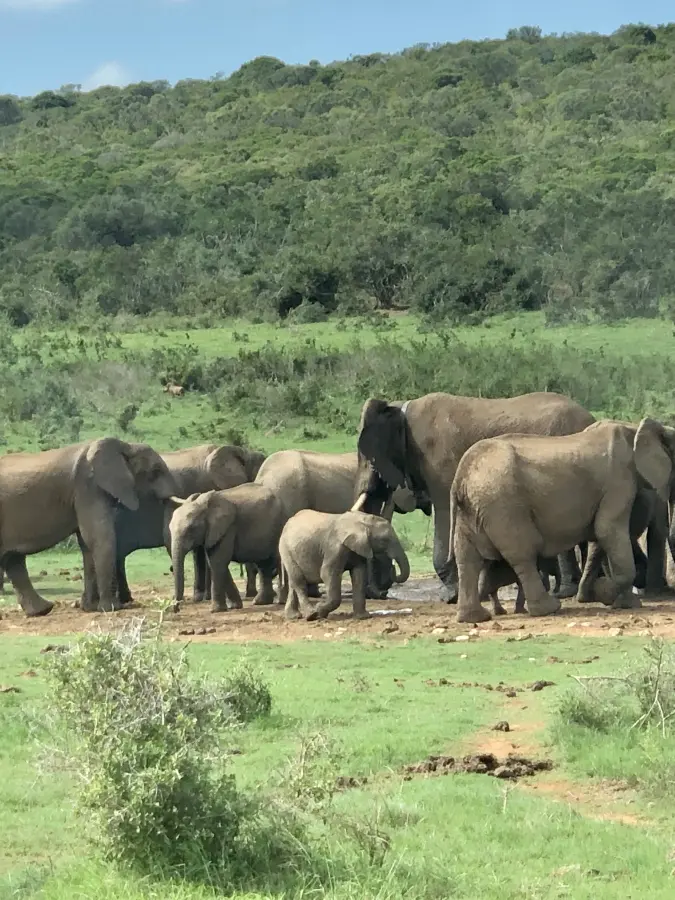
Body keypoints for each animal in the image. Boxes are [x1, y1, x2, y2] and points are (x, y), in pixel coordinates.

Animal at [0, 438, 177, 620]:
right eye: (155, 471)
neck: (125, 446)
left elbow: (87, 544)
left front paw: (90, 608)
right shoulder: (87, 487)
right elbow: (98, 537)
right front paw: (112, 608)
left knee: (13, 560)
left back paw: (43, 610)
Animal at [278, 510, 410, 624]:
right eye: (384, 540)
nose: (393, 567)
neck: (362, 520)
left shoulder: (359, 547)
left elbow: (359, 575)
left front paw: (363, 617)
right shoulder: (334, 548)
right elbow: (327, 573)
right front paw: (320, 610)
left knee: (293, 582)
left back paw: (294, 616)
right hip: (285, 549)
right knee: (299, 581)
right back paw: (311, 615)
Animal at [352, 388, 600, 604]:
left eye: (368, 460)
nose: (381, 593)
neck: (400, 409)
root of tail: (589, 418)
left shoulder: (437, 462)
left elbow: (445, 513)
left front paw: (451, 597)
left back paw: (567, 592)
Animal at [452, 418, 675, 624]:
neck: (635, 428)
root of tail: (461, 475)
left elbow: (600, 537)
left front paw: (609, 599)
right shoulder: (619, 480)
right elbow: (607, 529)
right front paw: (609, 595)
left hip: (474, 509)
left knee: (467, 558)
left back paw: (474, 618)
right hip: (503, 504)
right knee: (522, 553)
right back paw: (548, 609)